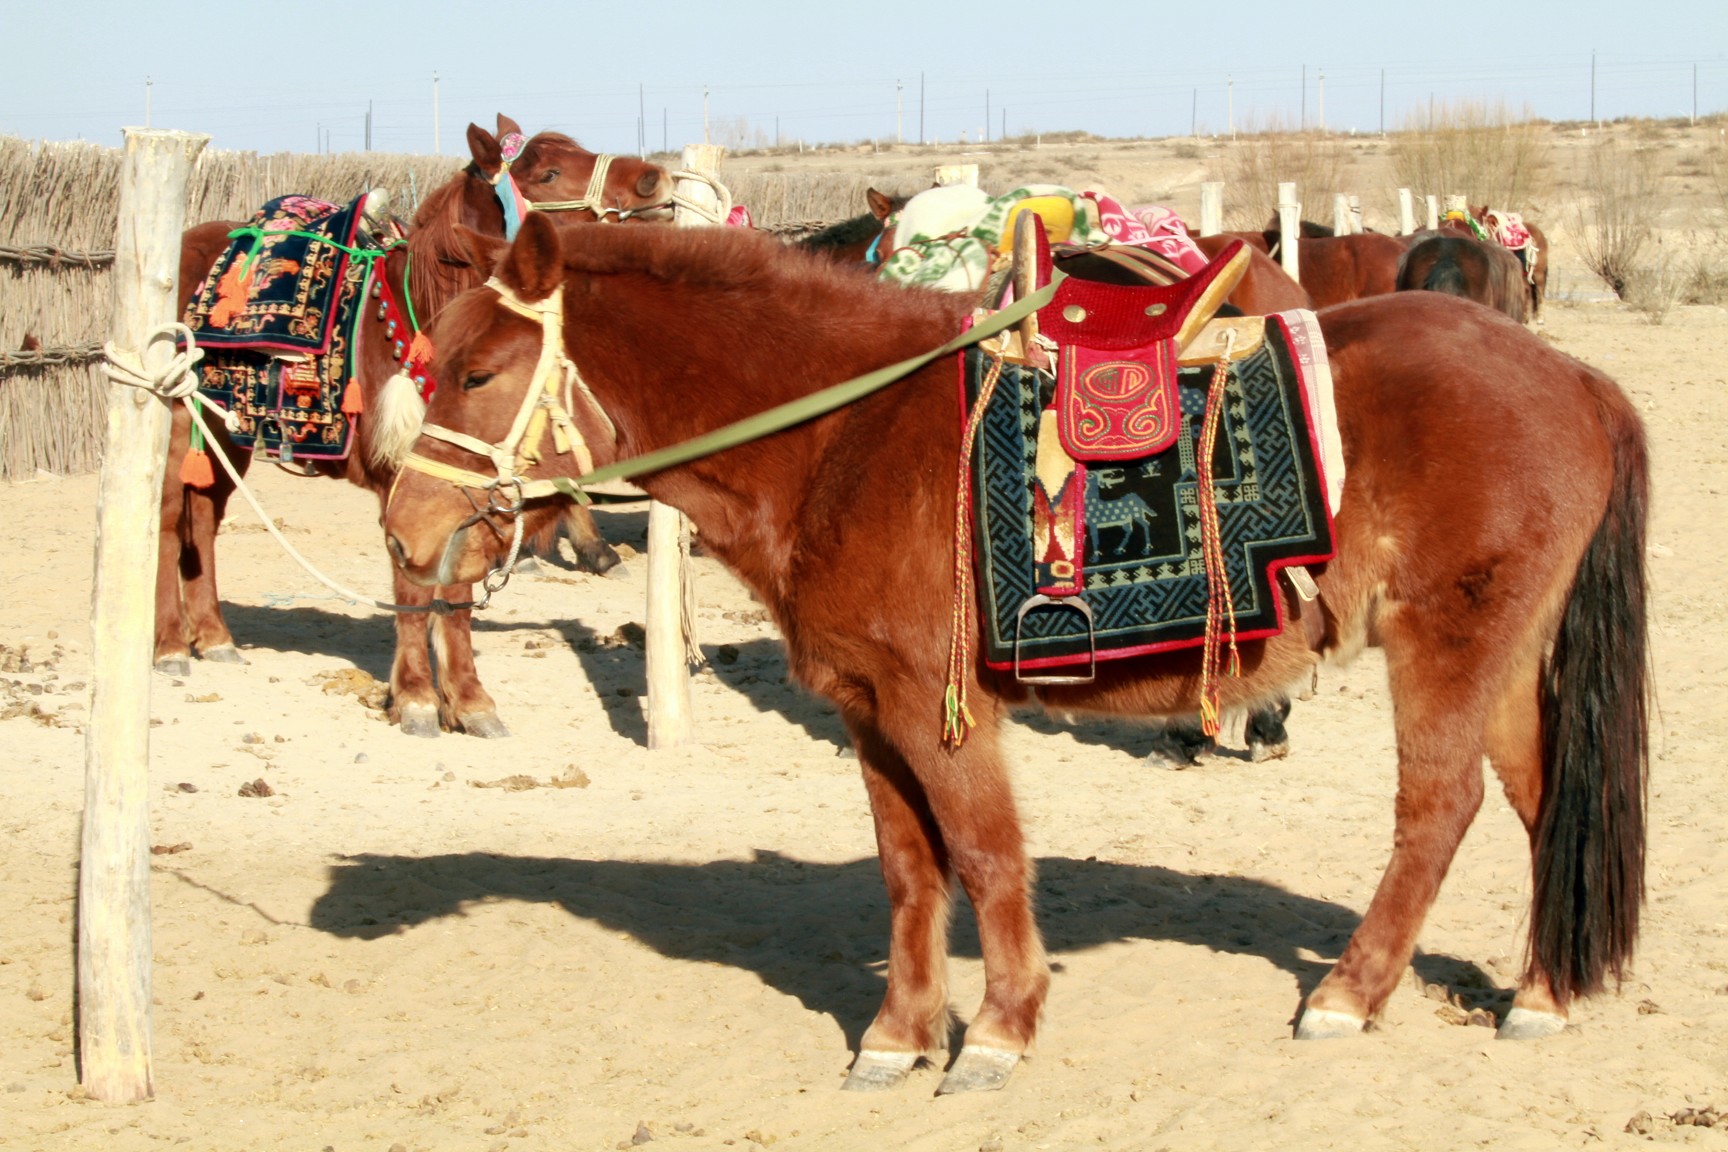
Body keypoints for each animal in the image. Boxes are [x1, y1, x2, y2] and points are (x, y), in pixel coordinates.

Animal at [155, 112, 670, 735]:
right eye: (548, 172)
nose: (653, 180)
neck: (424, 318)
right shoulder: (402, 484)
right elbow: (414, 589)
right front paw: (420, 698)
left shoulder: (462, 491)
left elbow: (455, 592)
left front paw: (468, 701)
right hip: (176, 423)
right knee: (166, 522)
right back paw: (170, 646)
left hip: (227, 436)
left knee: (204, 517)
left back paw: (214, 636)